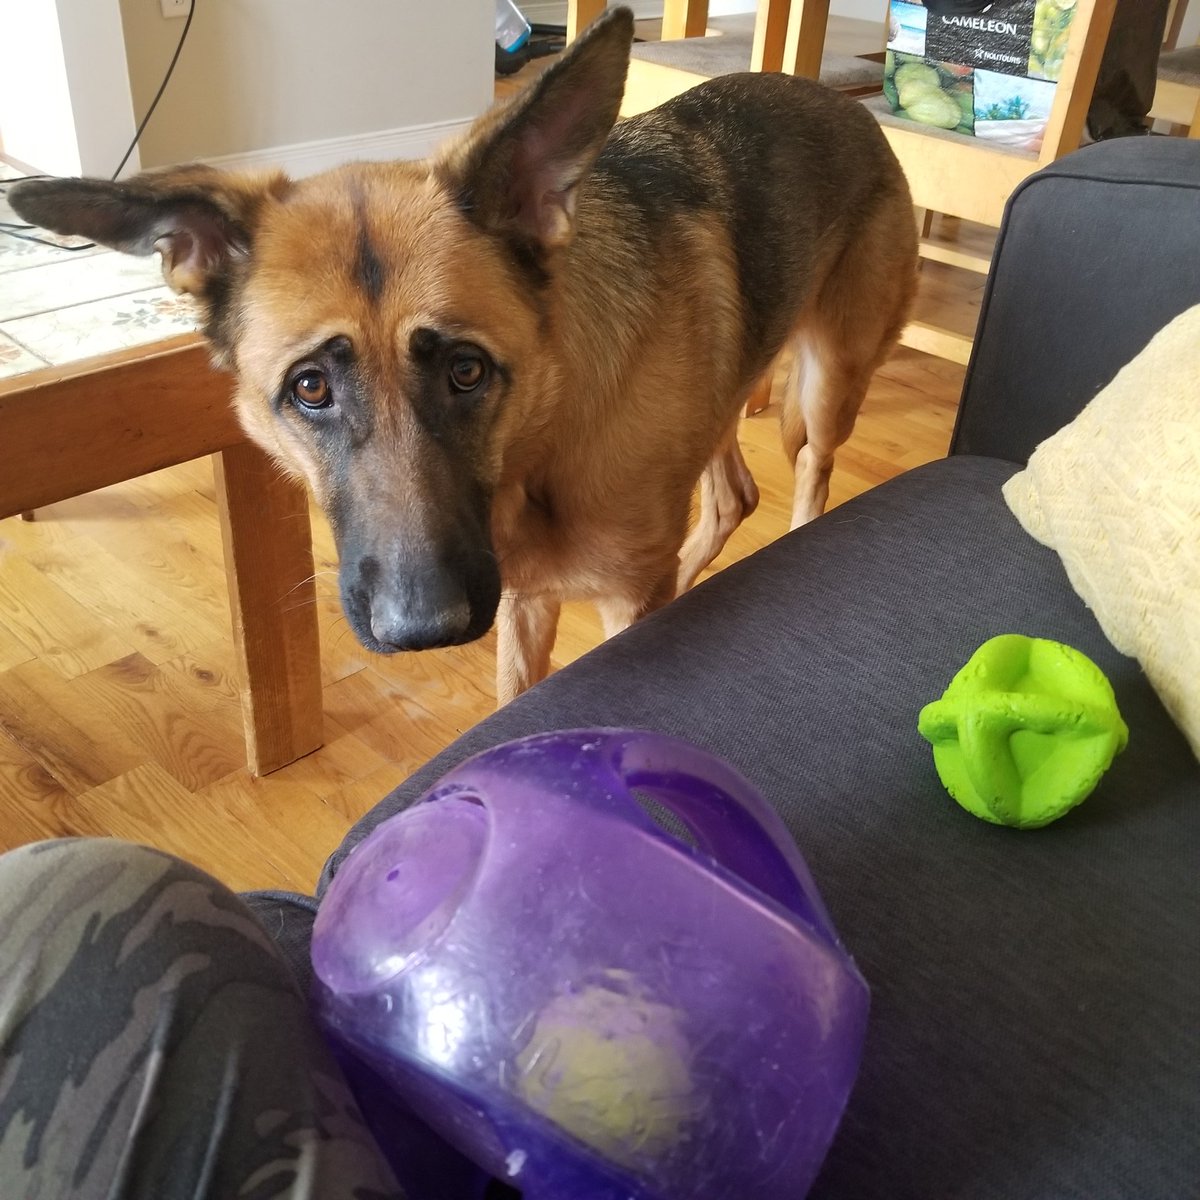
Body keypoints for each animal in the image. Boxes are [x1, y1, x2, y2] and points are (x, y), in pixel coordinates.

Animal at [9, 7, 912, 700]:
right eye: (309, 389)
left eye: (466, 370)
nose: (423, 630)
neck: (541, 443)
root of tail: (844, 102)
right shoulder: (524, 602)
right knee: (733, 496)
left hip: (828, 386)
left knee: (810, 474)